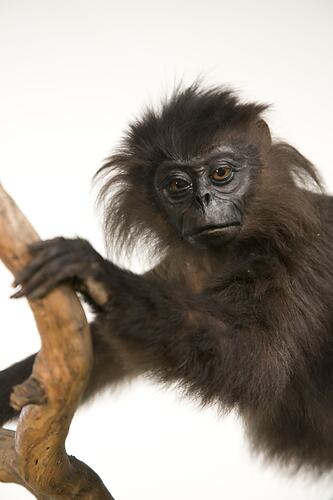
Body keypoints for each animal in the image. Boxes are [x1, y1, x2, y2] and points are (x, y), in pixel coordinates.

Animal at [0, 84, 332, 474]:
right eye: (177, 185)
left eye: (221, 173)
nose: (203, 200)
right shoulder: (181, 269)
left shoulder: (298, 252)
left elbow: (257, 359)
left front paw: (97, 272)